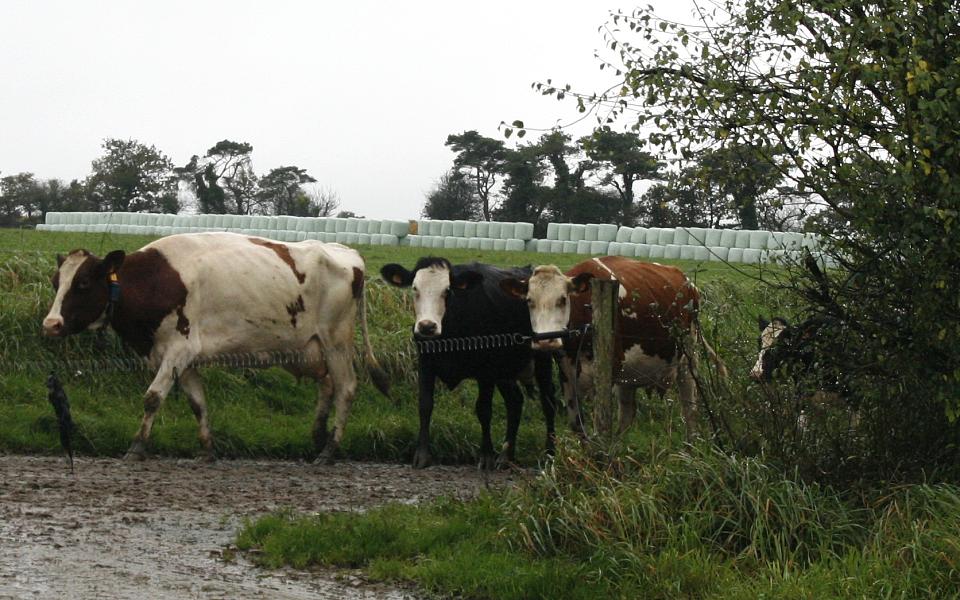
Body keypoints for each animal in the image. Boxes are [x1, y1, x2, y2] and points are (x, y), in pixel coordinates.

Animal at [41, 232, 386, 462]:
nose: (51, 324)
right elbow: (198, 403)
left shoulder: (180, 348)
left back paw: (329, 449)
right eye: (56, 282)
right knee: (326, 385)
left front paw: (137, 447)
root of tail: (346, 251)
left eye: (83, 283)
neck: (155, 280)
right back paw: (317, 436)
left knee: (346, 388)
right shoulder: (182, 357)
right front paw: (207, 449)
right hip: (306, 349)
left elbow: (153, 397)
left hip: (336, 341)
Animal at [378, 256, 560, 468]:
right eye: (415, 288)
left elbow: (484, 409)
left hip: (542, 359)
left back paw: (549, 454)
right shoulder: (425, 364)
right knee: (515, 401)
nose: (427, 327)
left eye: (447, 291)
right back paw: (506, 456)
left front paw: (486, 455)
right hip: (505, 370)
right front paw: (422, 456)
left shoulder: (486, 371)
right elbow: (425, 405)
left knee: (548, 402)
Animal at [498, 255, 724, 438]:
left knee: (689, 408)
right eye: (529, 301)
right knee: (627, 415)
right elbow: (578, 426)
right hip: (630, 375)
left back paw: (690, 447)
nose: (546, 340)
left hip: (688, 358)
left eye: (562, 299)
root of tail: (687, 281)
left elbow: (601, 427)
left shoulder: (609, 369)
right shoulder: (567, 374)